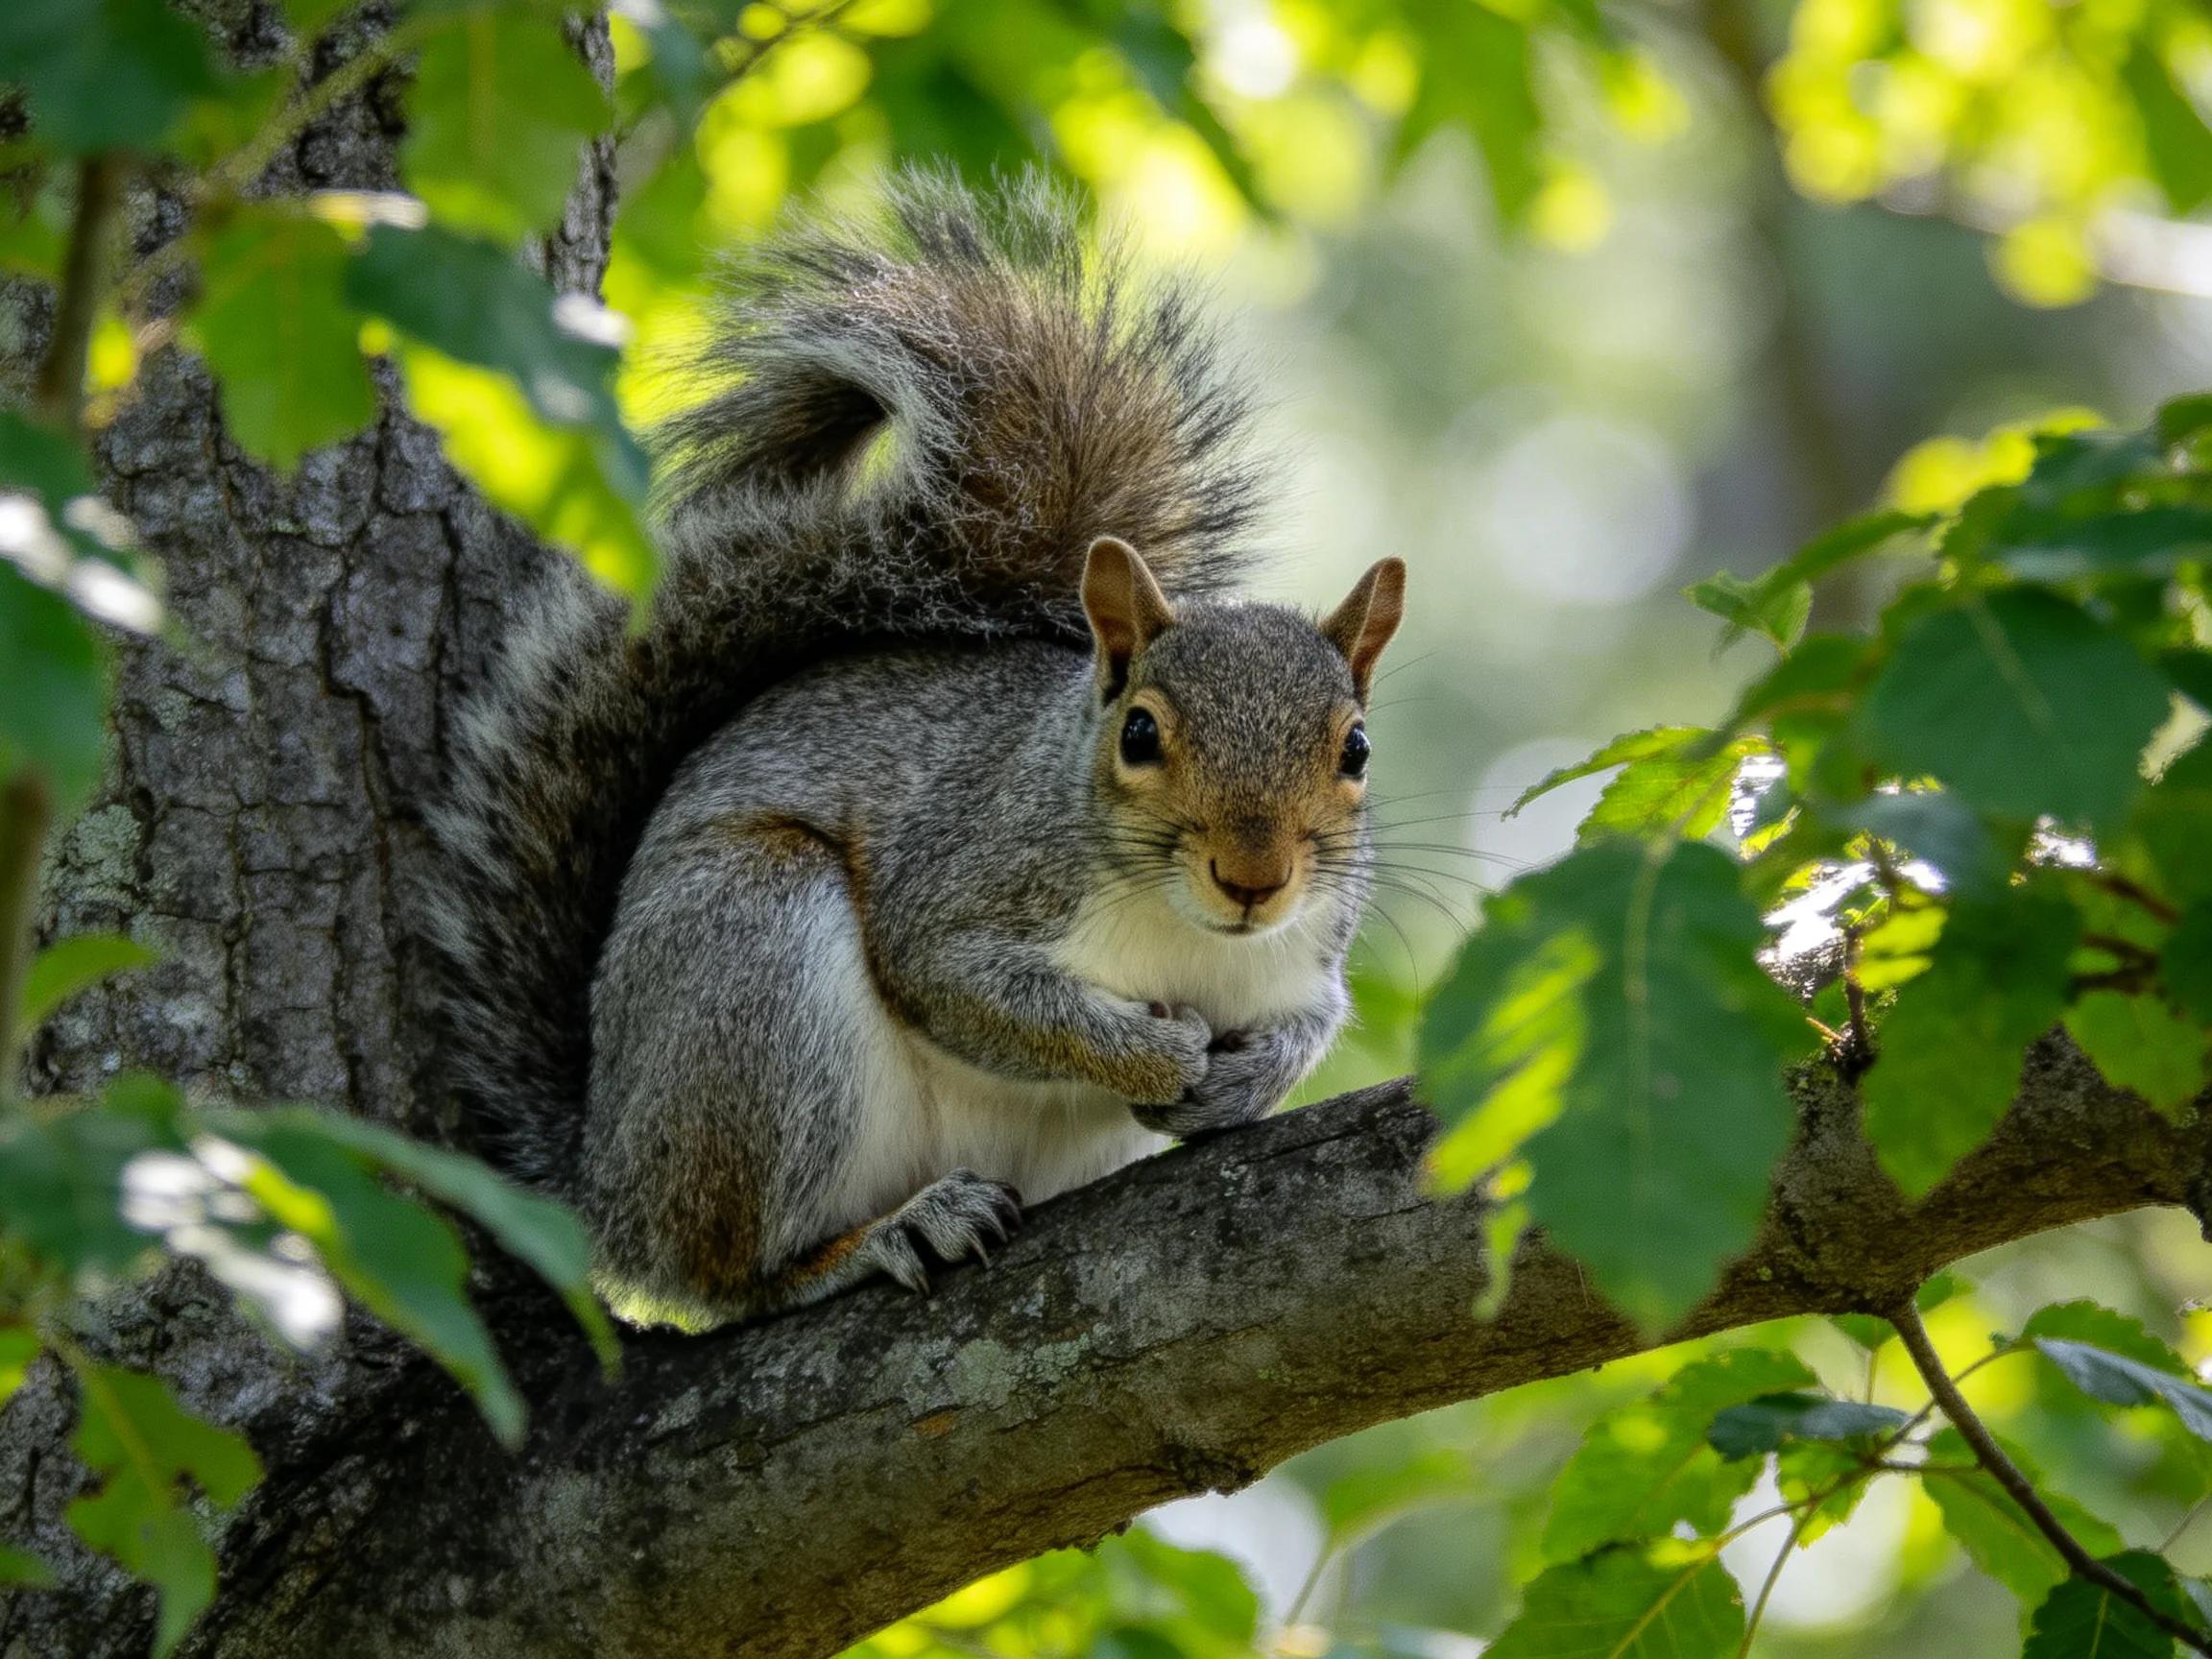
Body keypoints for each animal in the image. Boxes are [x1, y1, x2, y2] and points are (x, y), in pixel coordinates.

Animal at [426, 173, 1406, 1329]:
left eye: (1356, 750)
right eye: (1139, 733)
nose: (1255, 879)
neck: (1186, 932)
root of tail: (604, 1178)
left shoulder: (1307, 955)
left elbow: (1315, 1022)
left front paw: (1248, 1081)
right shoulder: (958, 872)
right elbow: (953, 983)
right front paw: (1146, 1053)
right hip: (752, 969)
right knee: (731, 1275)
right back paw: (879, 1238)